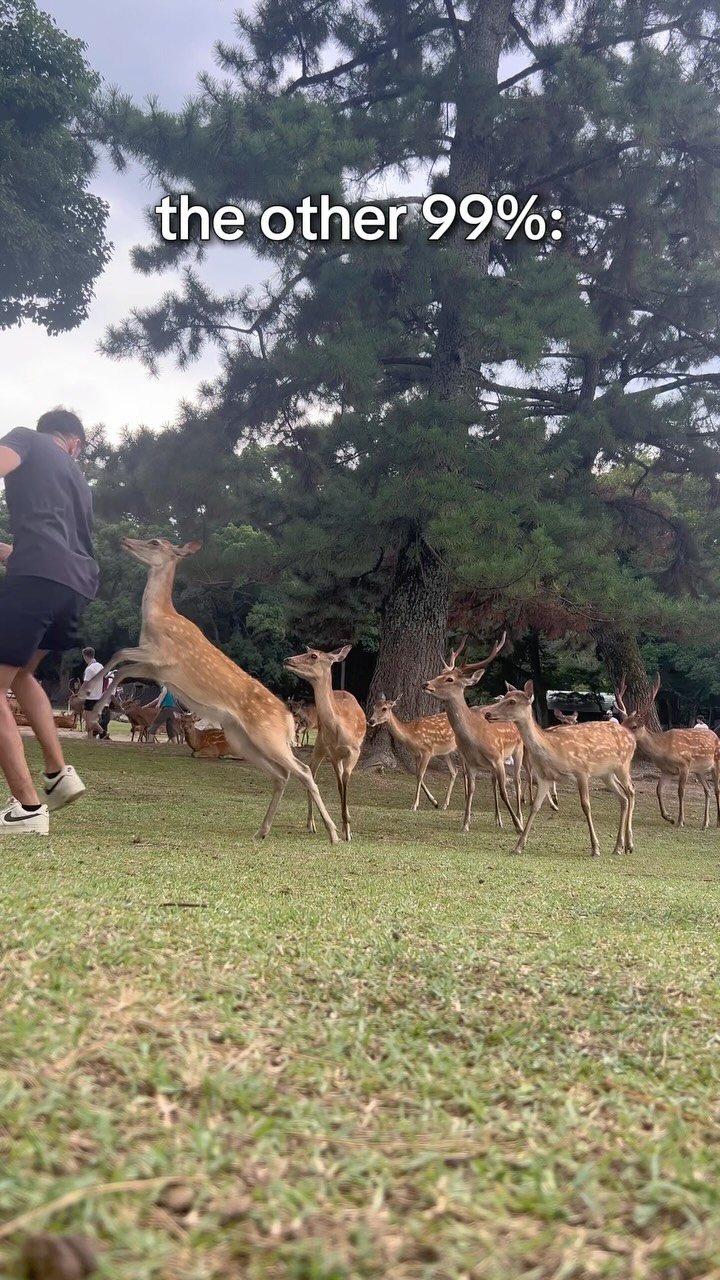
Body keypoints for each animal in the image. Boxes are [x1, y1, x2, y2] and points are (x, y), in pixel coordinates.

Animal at [79, 537, 341, 845]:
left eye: (155, 542)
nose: (125, 541)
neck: (157, 619)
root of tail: (288, 719)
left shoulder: (162, 657)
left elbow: (119, 657)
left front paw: (88, 700)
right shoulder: (156, 669)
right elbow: (120, 666)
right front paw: (92, 709)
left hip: (268, 736)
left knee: (303, 770)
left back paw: (334, 833)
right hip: (244, 740)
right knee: (281, 775)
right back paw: (262, 830)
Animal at [284, 645, 366, 842]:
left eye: (314, 655)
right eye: (307, 650)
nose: (287, 660)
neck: (339, 727)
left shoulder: (355, 751)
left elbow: (344, 781)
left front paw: (347, 830)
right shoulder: (333, 753)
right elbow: (339, 783)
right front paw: (345, 829)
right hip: (321, 743)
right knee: (311, 770)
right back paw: (311, 824)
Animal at [422, 634, 526, 834]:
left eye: (450, 679)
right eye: (440, 673)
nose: (425, 684)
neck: (474, 739)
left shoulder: (497, 757)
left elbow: (504, 791)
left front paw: (517, 825)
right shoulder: (471, 762)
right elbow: (470, 790)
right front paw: (465, 824)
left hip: (518, 751)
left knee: (517, 782)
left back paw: (520, 819)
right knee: (493, 783)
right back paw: (498, 820)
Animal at [486, 681, 636, 857]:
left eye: (512, 701)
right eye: (505, 696)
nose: (487, 713)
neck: (553, 749)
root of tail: (632, 738)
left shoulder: (581, 771)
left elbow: (586, 806)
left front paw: (595, 848)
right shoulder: (544, 777)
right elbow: (535, 807)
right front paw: (518, 846)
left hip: (623, 765)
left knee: (631, 790)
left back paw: (629, 844)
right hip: (606, 774)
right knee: (623, 798)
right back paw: (618, 846)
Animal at [615, 674, 720, 828]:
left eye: (634, 726)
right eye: (622, 723)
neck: (663, 749)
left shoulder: (685, 765)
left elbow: (680, 792)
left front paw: (680, 820)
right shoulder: (667, 770)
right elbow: (658, 790)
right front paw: (669, 817)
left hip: (716, 763)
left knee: (717, 790)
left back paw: (717, 822)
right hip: (699, 771)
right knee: (708, 790)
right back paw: (705, 823)